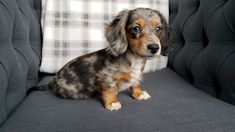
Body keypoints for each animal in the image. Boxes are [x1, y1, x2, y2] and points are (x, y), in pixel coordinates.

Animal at [29, 7, 169, 111]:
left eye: (158, 28)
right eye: (136, 28)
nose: (154, 48)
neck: (133, 59)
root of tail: (53, 80)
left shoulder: (136, 76)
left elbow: (135, 84)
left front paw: (139, 94)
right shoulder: (106, 76)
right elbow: (110, 89)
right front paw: (112, 102)